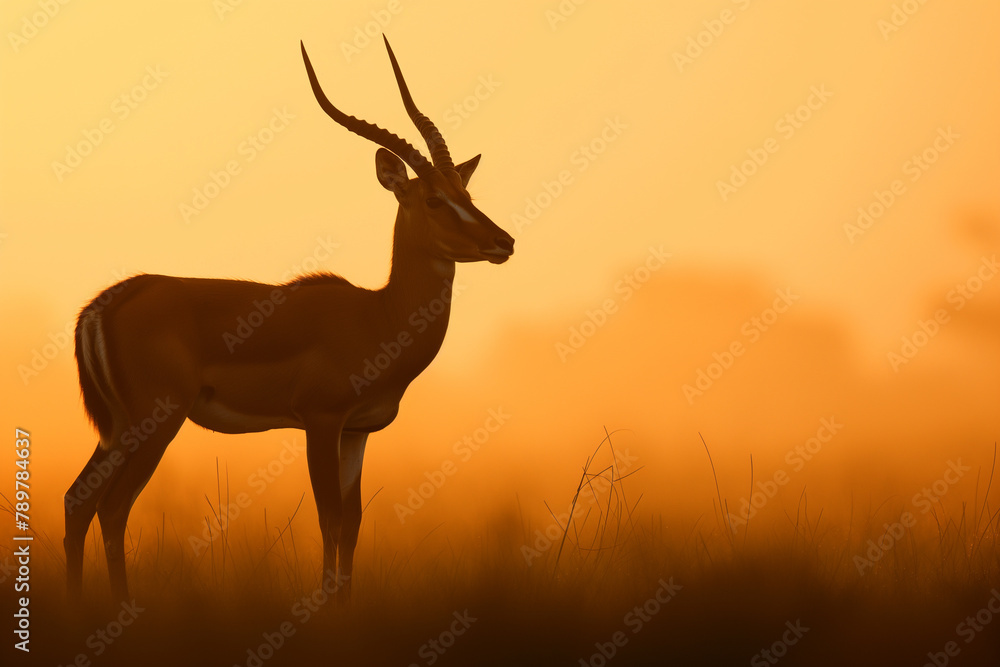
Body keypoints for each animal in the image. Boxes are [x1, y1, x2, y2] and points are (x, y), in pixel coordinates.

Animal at [64, 36, 514, 603]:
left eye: (467, 194)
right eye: (435, 199)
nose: (503, 242)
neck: (380, 315)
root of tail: (106, 304)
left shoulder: (357, 432)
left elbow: (353, 522)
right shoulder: (321, 421)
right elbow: (329, 520)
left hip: (119, 427)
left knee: (78, 500)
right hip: (155, 423)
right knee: (112, 507)